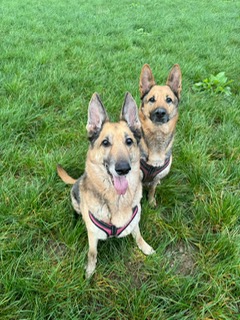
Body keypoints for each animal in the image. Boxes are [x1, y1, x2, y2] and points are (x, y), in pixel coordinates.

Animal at [58, 92, 156, 278]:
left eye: (129, 141)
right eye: (105, 143)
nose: (123, 169)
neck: (116, 201)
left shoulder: (135, 222)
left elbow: (138, 235)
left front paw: (145, 247)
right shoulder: (92, 236)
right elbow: (92, 253)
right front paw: (90, 270)